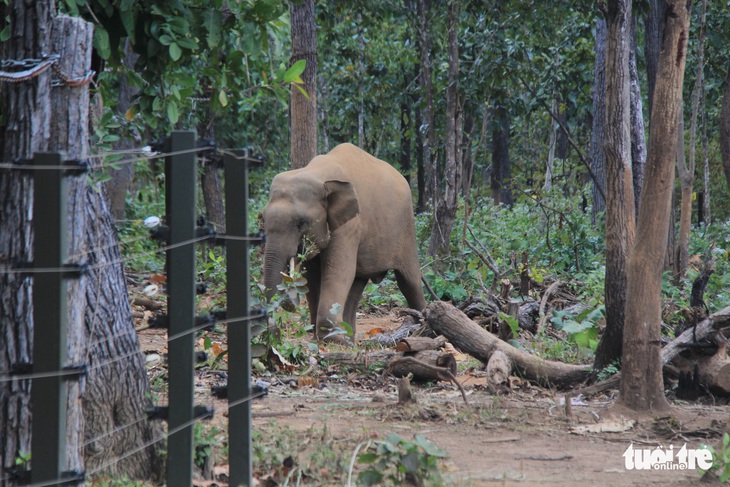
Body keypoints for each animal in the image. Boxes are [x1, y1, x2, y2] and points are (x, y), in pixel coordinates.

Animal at [262, 143, 424, 342]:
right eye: (263, 219)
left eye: (300, 223)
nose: (274, 333)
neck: (317, 173)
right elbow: (312, 275)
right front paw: (326, 337)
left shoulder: (350, 225)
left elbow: (336, 271)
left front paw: (331, 338)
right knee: (357, 282)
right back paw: (349, 339)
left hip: (407, 228)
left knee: (409, 282)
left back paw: (425, 326)